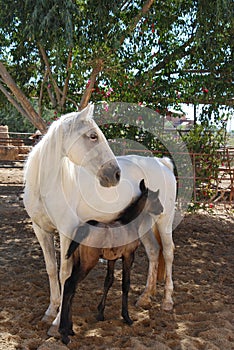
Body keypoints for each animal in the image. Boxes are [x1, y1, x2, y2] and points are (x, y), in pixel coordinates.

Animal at [59, 180, 163, 344]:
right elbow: (125, 284)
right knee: (70, 284)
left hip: (77, 261)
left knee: (71, 287)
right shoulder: (128, 256)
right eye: (156, 199)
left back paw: (70, 328)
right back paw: (63, 332)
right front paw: (127, 317)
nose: (161, 209)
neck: (129, 223)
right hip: (88, 262)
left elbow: (108, 281)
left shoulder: (112, 259)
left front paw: (100, 313)